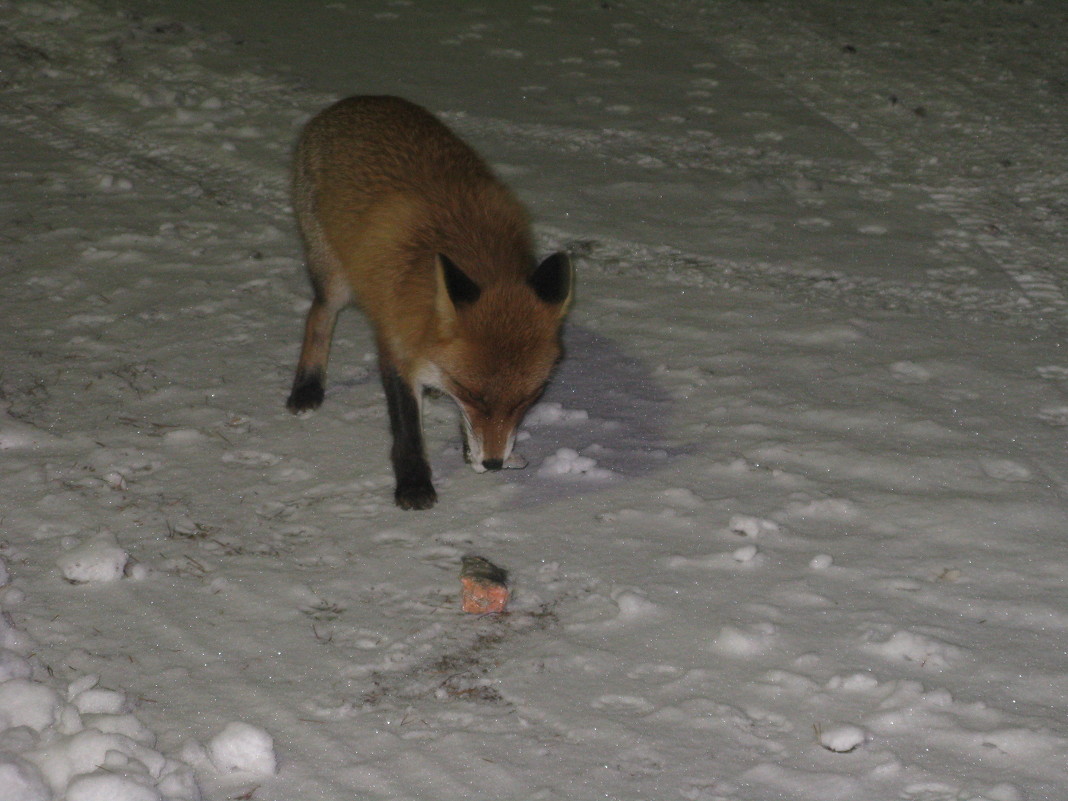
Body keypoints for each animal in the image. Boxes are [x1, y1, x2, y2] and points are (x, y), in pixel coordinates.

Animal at [284, 97, 568, 510]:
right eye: (473, 394)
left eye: (527, 400)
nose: (494, 464)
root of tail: (355, 99)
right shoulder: (397, 345)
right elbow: (407, 430)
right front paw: (414, 485)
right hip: (335, 279)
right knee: (318, 316)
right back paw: (307, 387)